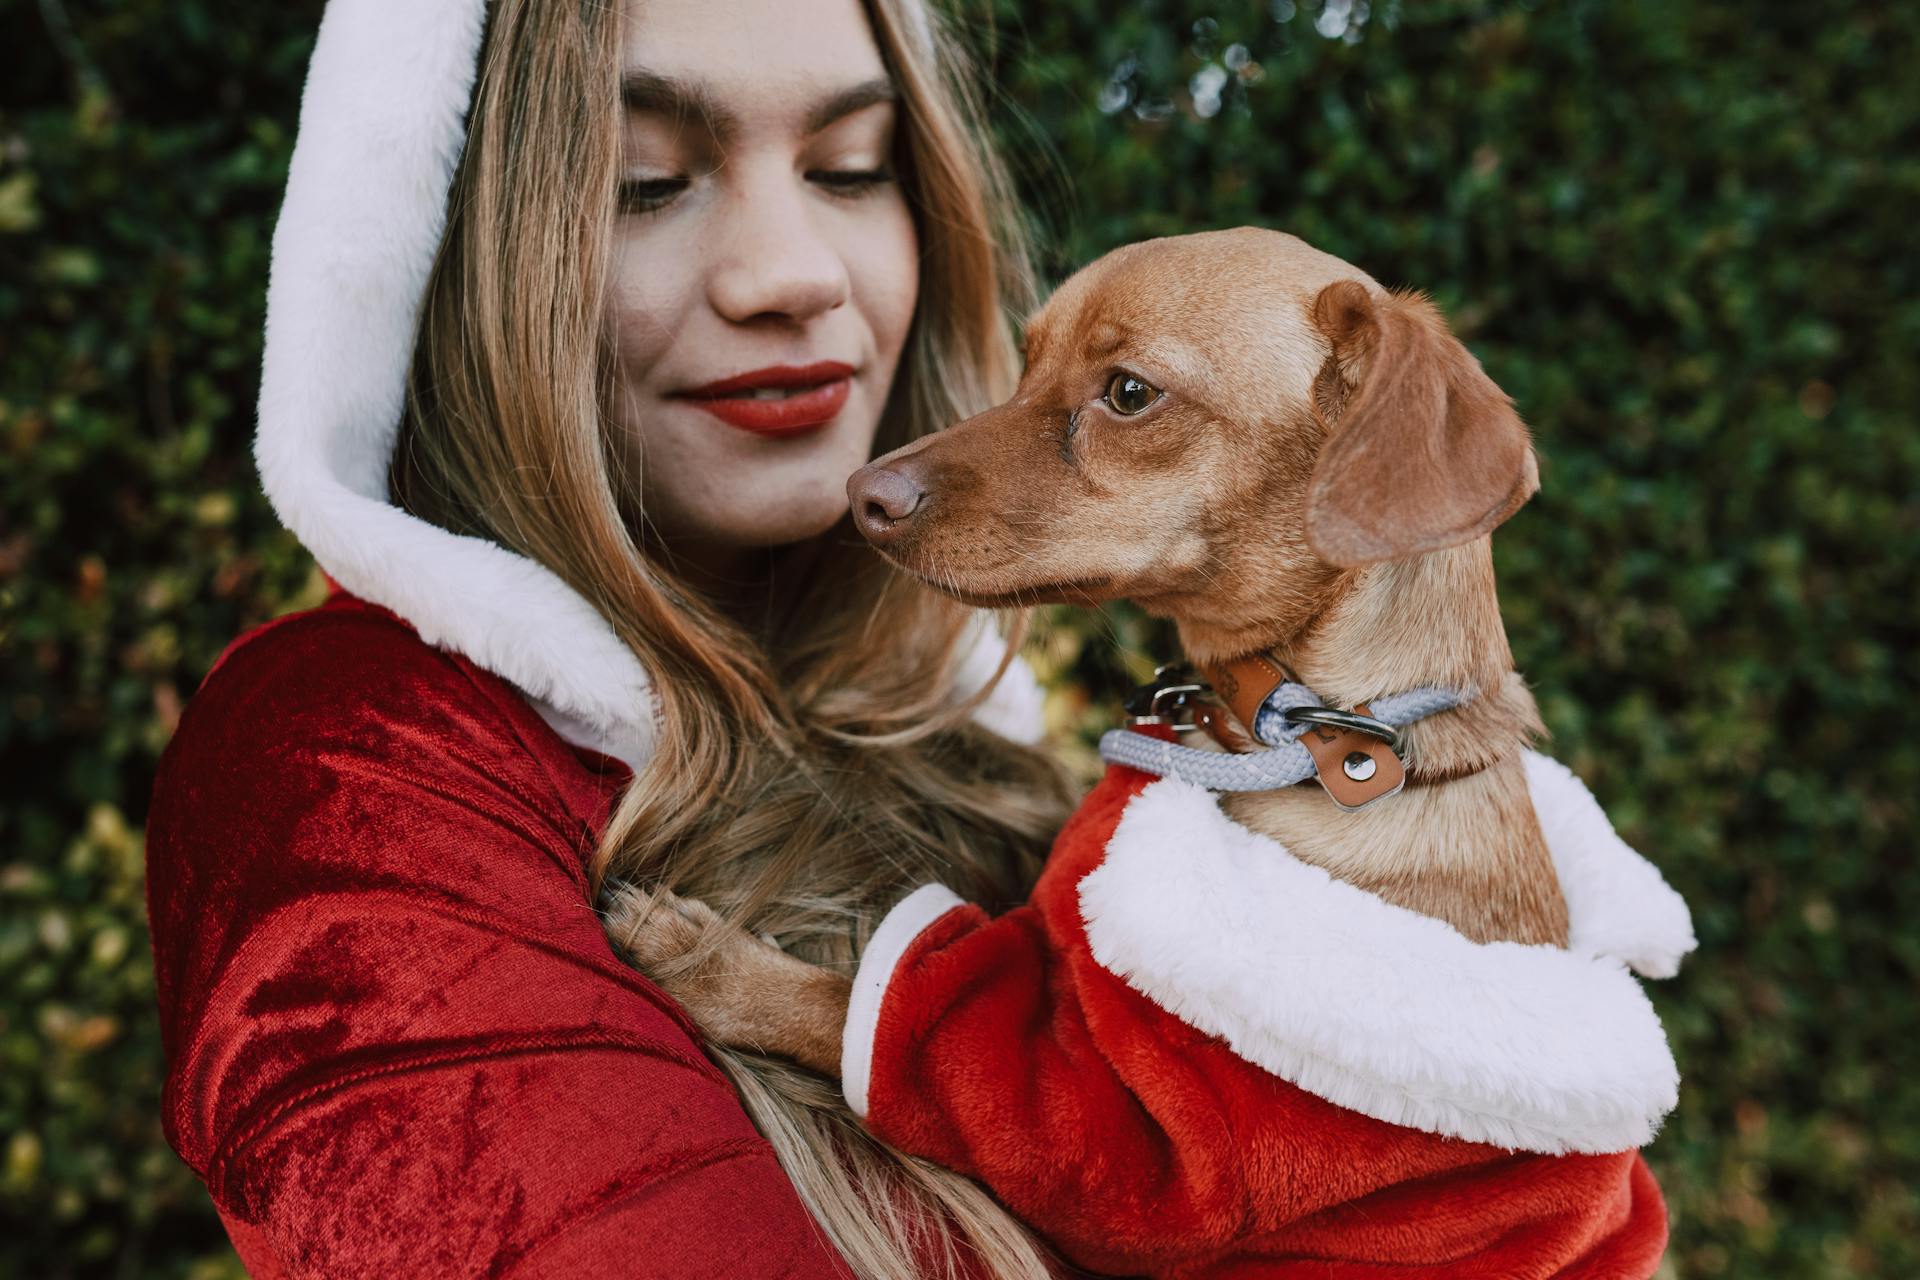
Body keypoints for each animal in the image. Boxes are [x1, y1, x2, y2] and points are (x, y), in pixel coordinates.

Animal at [618, 230, 1574, 1082]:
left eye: (1129, 392)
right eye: (1025, 364)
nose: (861, 495)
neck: (1309, 736)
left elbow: (870, 1006)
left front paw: (711, 963)